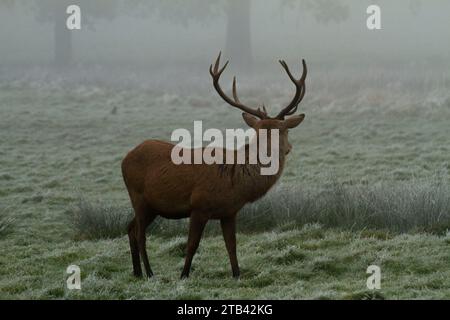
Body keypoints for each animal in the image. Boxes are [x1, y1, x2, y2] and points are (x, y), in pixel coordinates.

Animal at [121, 52, 308, 278]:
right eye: (260, 132)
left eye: (282, 130)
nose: (288, 147)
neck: (235, 182)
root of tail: (124, 159)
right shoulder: (198, 207)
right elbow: (192, 245)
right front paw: (184, 275)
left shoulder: (229, 212)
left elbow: (231, 245)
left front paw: (237, 274)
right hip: (138, 197)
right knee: (140, 234)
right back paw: (149, 273)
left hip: (152, 206)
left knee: (130, 228)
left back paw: (137, 272)